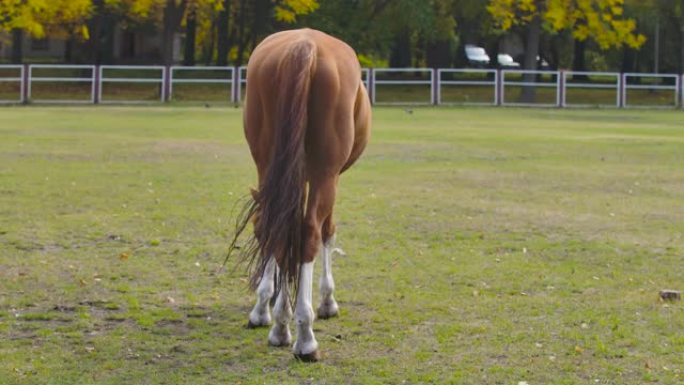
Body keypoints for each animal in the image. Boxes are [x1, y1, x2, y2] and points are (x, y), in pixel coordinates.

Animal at [238, 29, 372, 360]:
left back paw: (275, 323)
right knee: (310, 231)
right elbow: (328, 233)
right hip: (325, 173)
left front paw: (269, 306)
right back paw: (305, 337)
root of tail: (305, 46)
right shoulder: (330, 178)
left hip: (269, 161)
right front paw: (326, 302)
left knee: (273, 225)